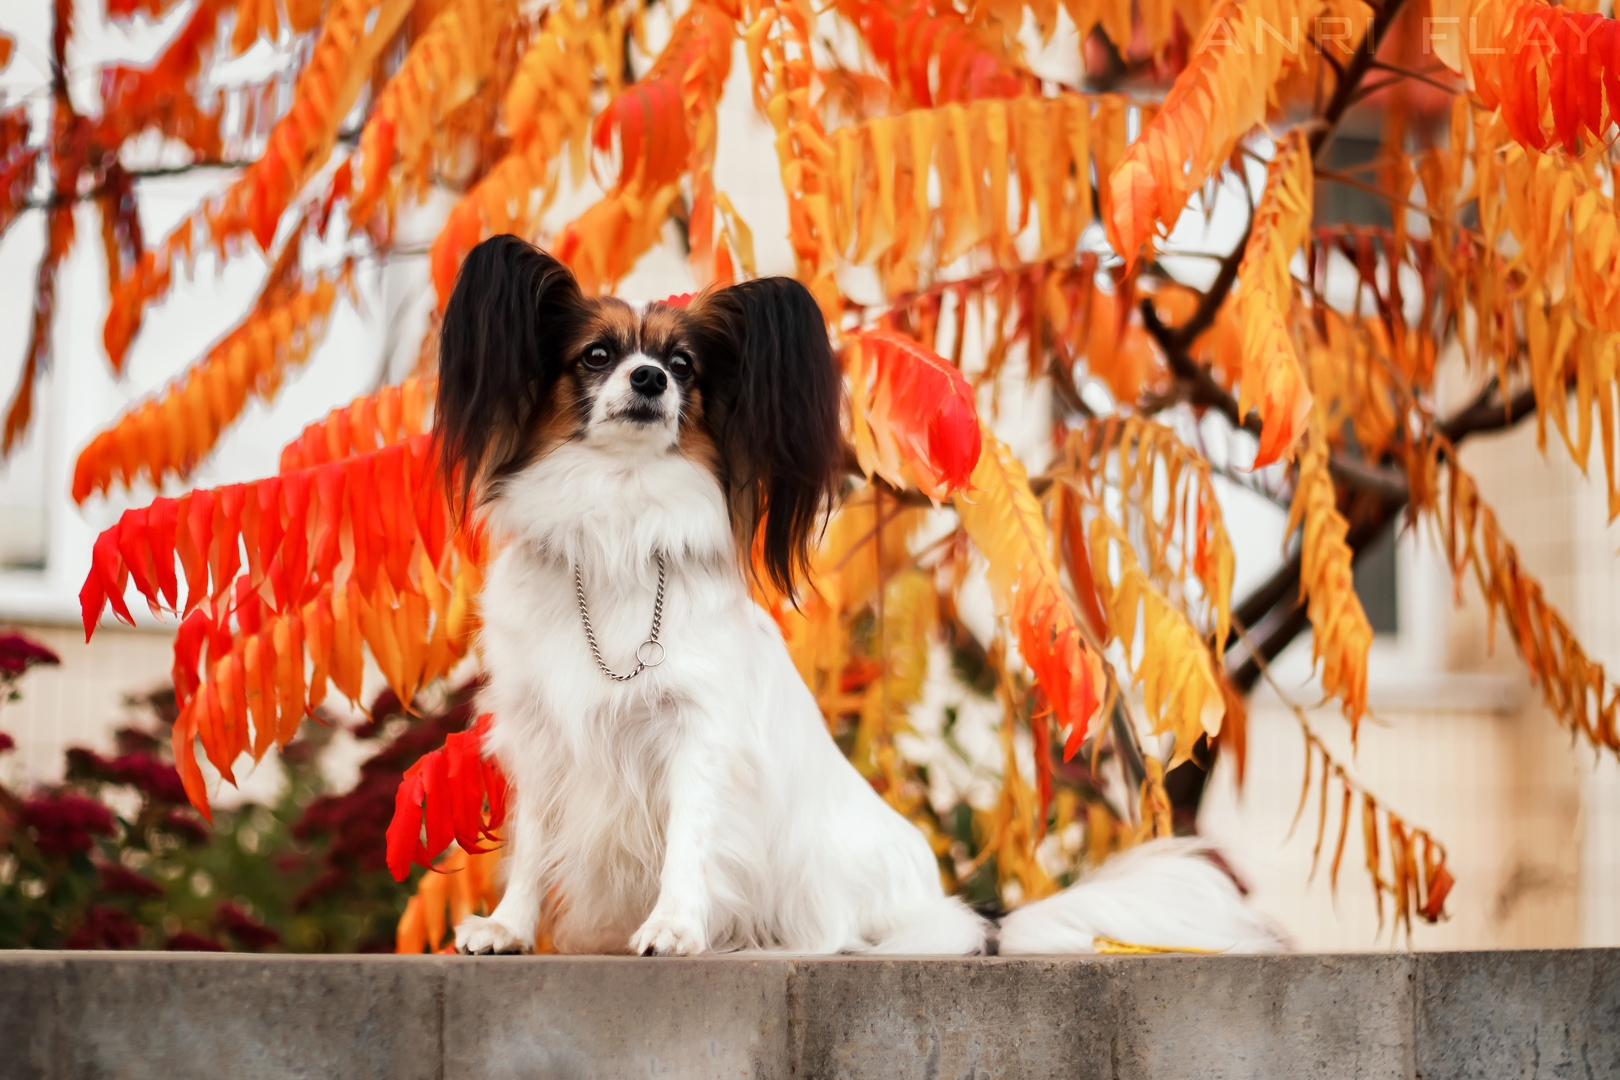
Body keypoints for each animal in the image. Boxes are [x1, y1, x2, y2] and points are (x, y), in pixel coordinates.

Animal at [437, 234, 1283, 952]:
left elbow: (688, 837)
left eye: (682, 367)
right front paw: (507, 927)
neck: (617, 527)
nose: (648, 379)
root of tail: (967, 915)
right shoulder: (541, 729)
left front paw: (674, 926)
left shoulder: (697, 731)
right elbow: (534, 842)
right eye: (597, 355)